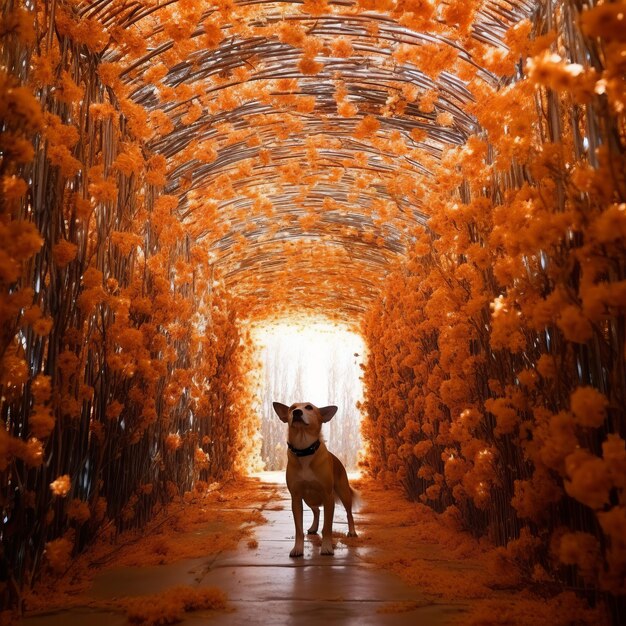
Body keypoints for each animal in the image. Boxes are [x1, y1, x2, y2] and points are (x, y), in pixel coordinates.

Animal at [272, 400, 356, 556]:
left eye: (309, 407)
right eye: (292, 408)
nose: (297, 412)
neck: (304, 450)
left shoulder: (328, 496)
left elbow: (327, 527)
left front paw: (327, 547)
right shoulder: (296, 498)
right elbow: (298, 529)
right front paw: (298, 548)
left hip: (344, 493)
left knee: (349, 513)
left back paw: (352, 531)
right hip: (308, 498)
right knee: (316, 510)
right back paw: (313, 527)